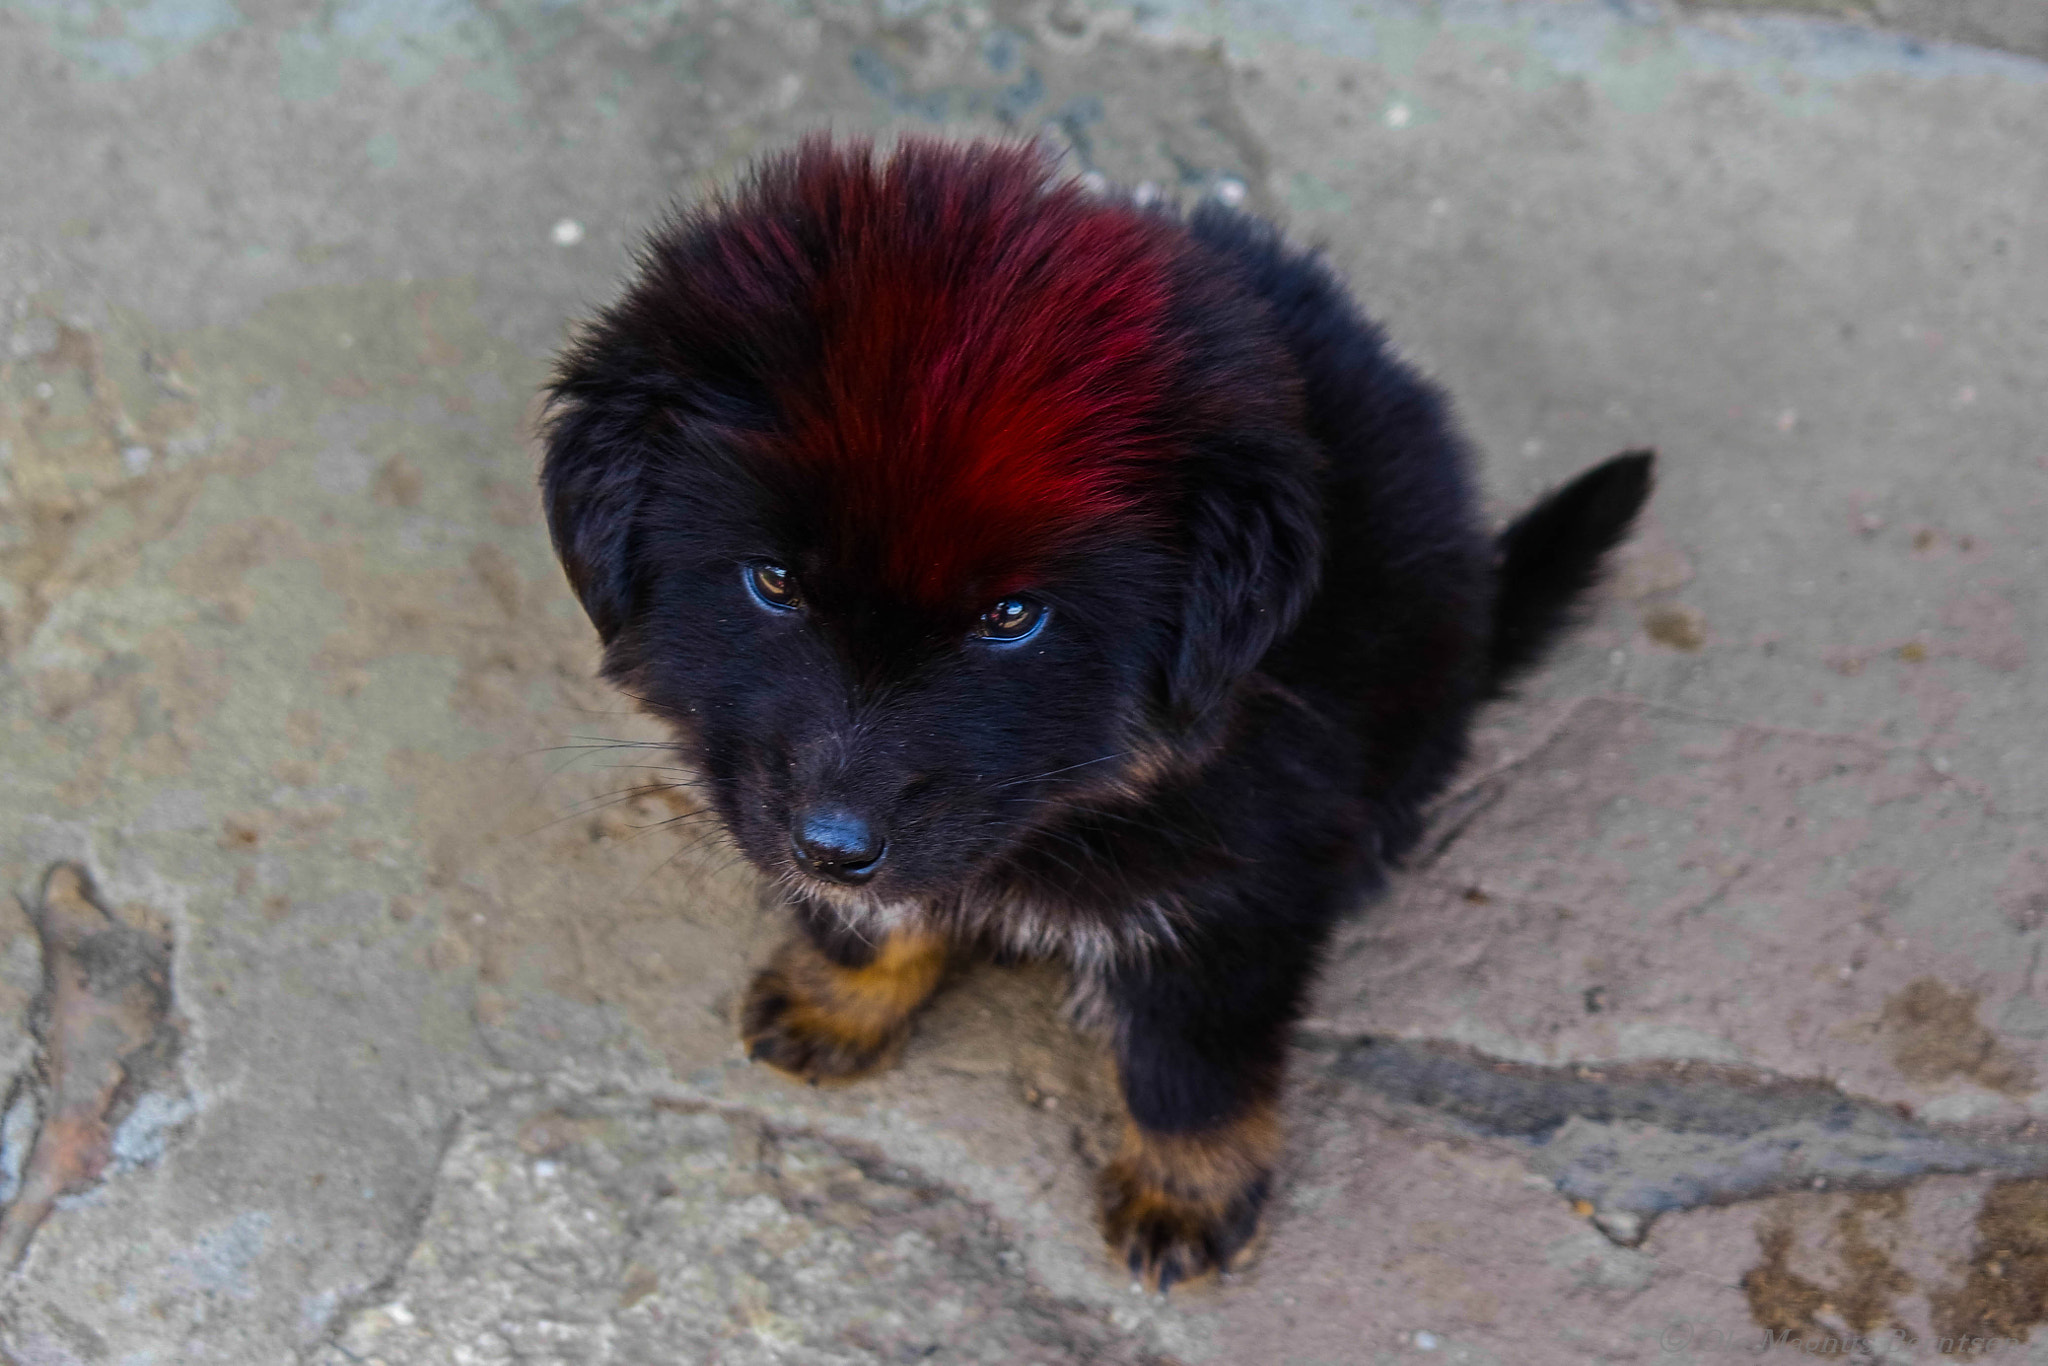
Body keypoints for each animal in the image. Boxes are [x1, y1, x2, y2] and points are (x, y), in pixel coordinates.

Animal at [540, 139, 1646, 1294]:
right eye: (773, 582)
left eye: (1012, 617)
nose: (831, 847)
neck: (1067, 808)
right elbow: (878, 918)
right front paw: (838, 995)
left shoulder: (1244, 873)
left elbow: (1191, 1058)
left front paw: (1185, 1192)